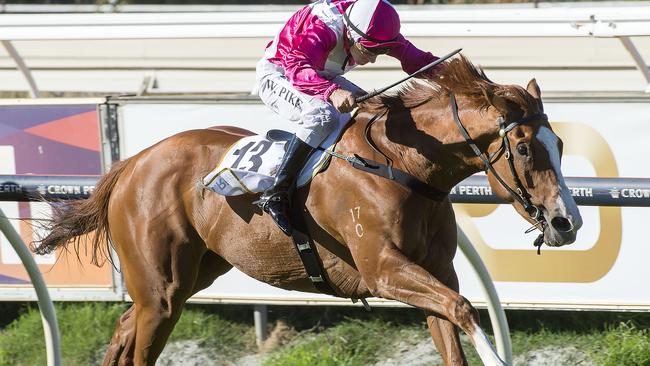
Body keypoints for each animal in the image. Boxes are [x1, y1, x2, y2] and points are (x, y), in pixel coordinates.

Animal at [34, 55, 584, 364]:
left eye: (559, 143)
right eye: (524, 149)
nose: (567, 222)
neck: (405, 164)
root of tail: (132, 163)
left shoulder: (435, 271)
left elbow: (453, 318)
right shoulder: (383, 270)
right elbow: (465, 308)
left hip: (190, 276)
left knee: (126, 329)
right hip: (161, 290)